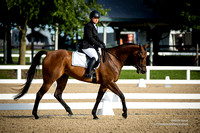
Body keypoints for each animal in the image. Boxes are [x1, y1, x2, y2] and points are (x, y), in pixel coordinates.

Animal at [14, 43, 148, 119]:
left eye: (146, 56)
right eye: (140, 56)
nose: (143, 71)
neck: (113, 59)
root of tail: (49, 53)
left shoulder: (105, 84)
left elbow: (98, 98)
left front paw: (94, 114)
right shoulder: (110, 82)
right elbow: (122, 95)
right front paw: (125, 114)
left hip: (63, 78)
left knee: (58, 94)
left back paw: (70, 111)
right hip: (49, 79)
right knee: (40, 94)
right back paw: (36, 115)